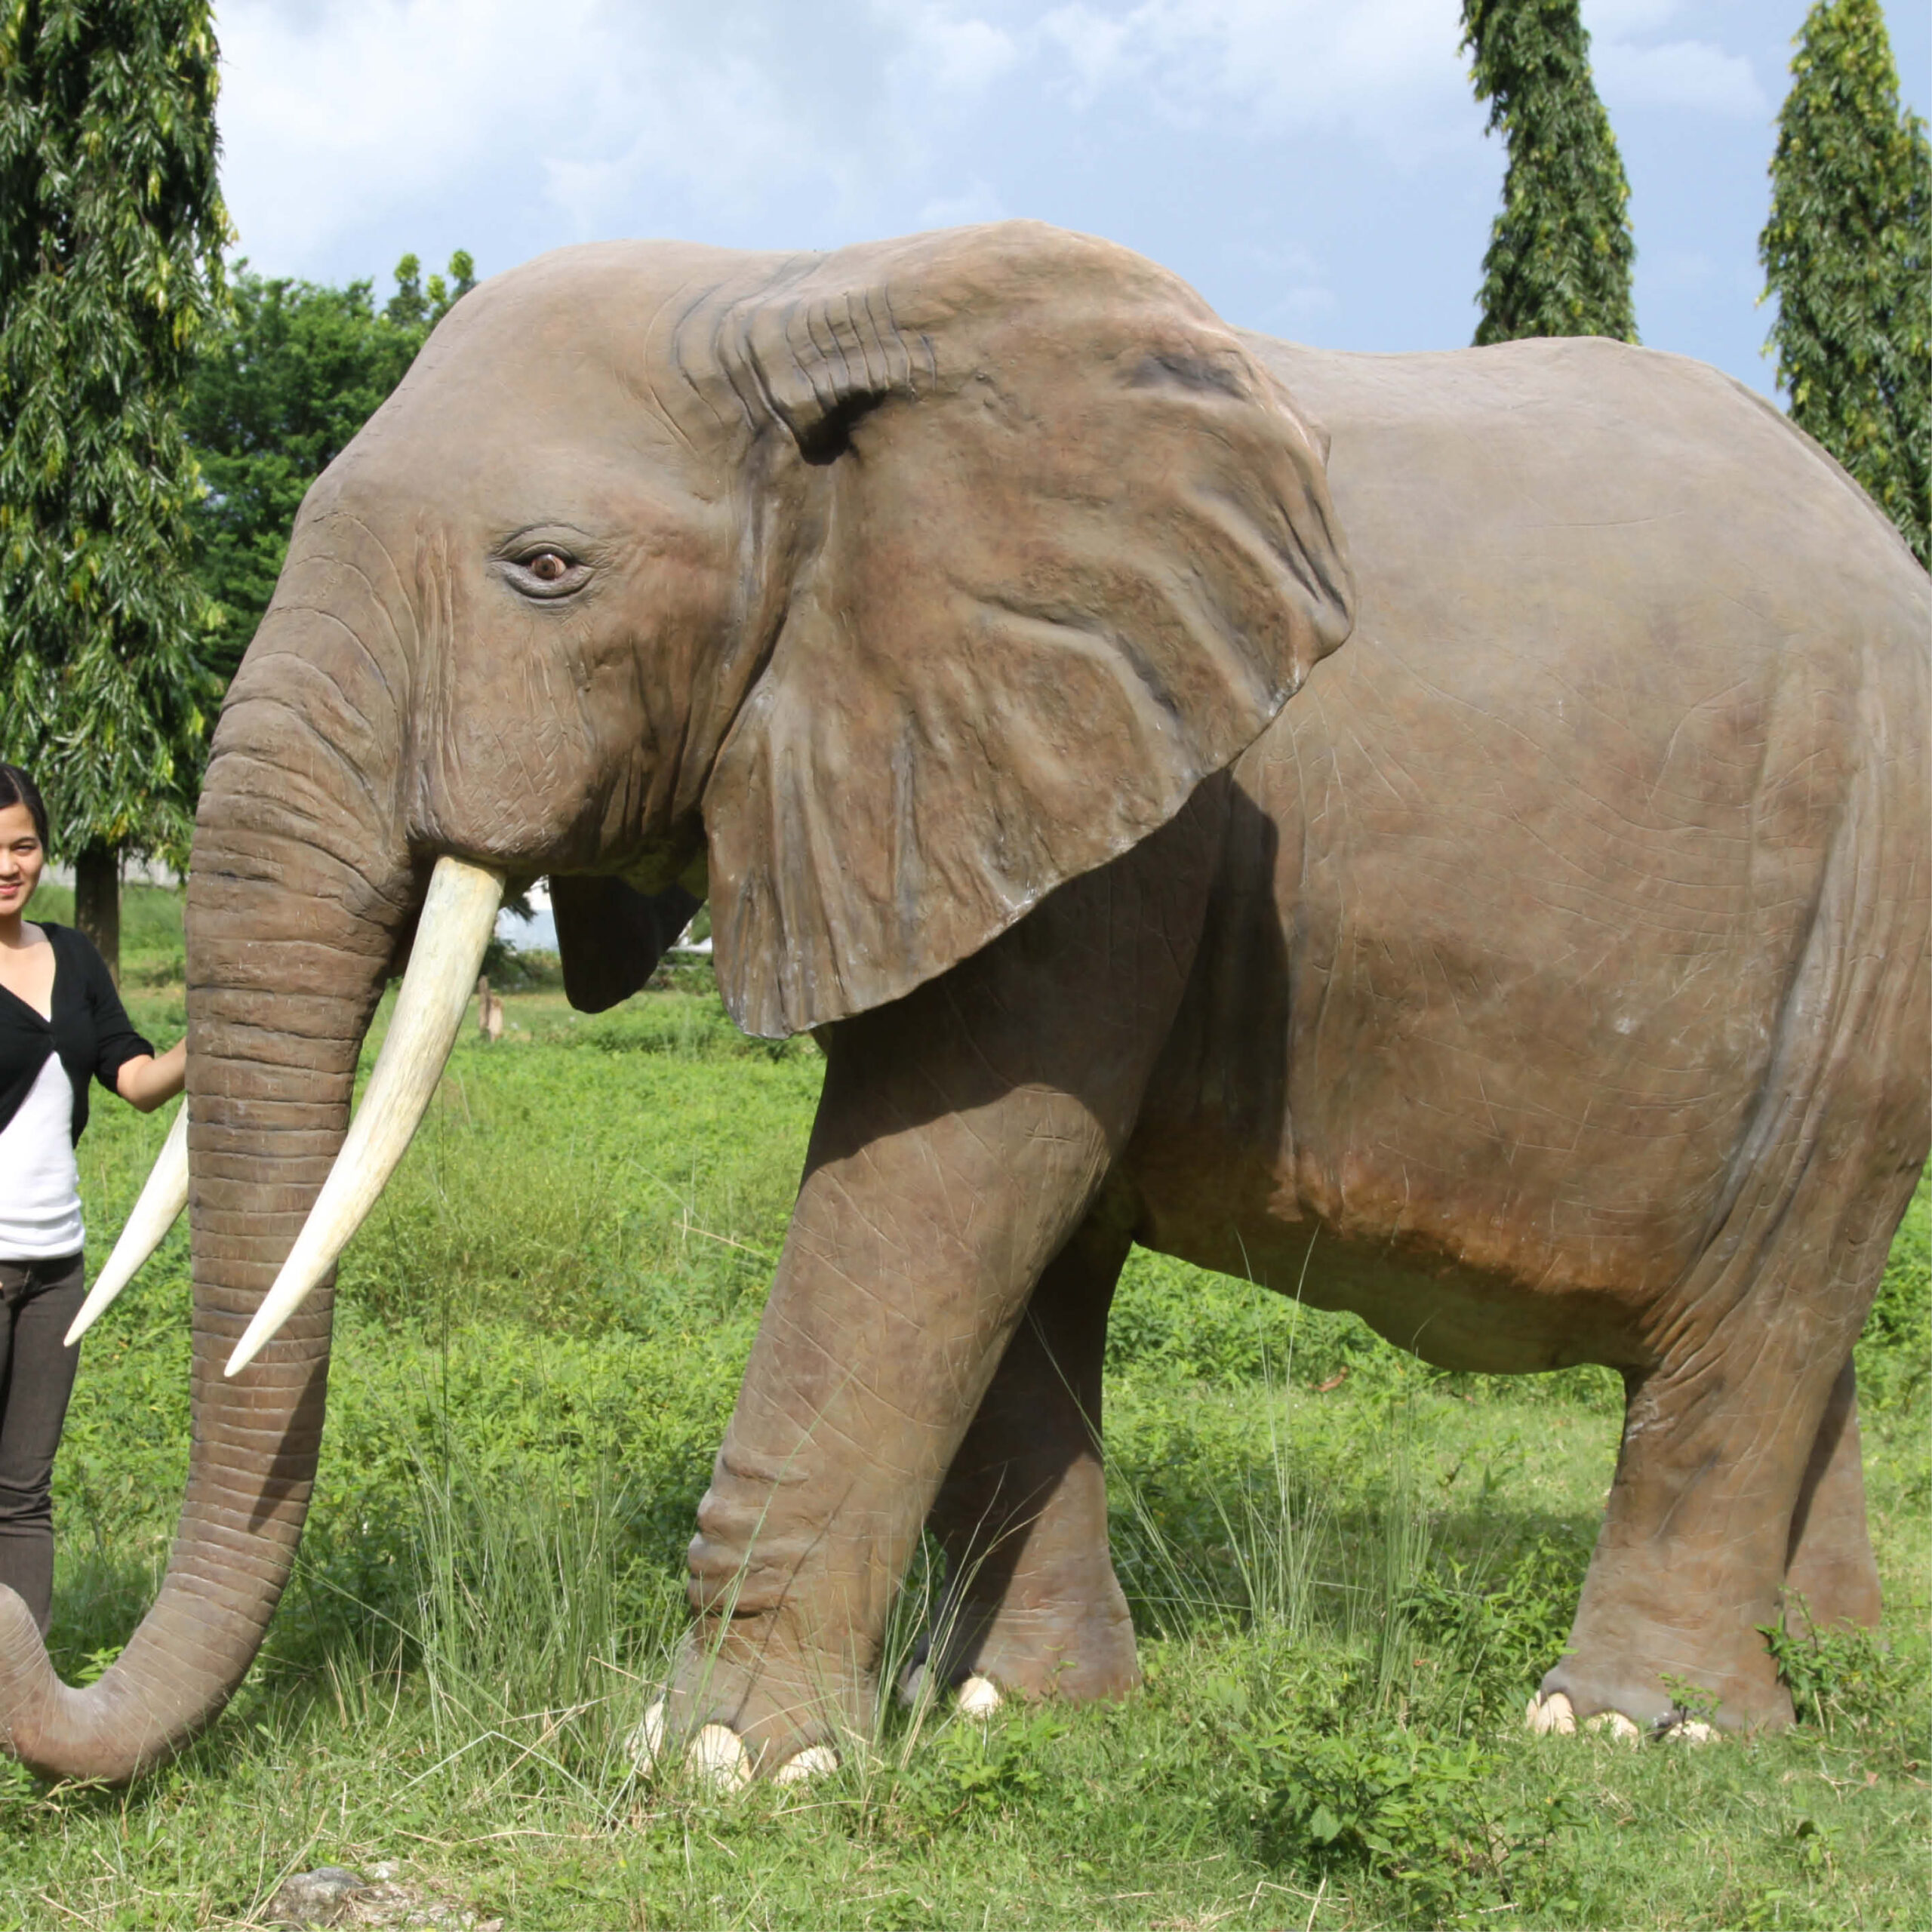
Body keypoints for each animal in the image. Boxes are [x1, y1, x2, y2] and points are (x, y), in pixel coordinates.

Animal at [0, 221, 1924, 1786]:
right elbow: (1010, 1230)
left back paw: (1626, 1732)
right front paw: (1008, 1713)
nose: (37, 1632)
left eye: (547, 569)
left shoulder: (1138, 800)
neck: (801, 290)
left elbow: (947, 1177)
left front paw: (718, 1769)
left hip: (1866, 932)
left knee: (1761, 1307)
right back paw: (1823, 1679)